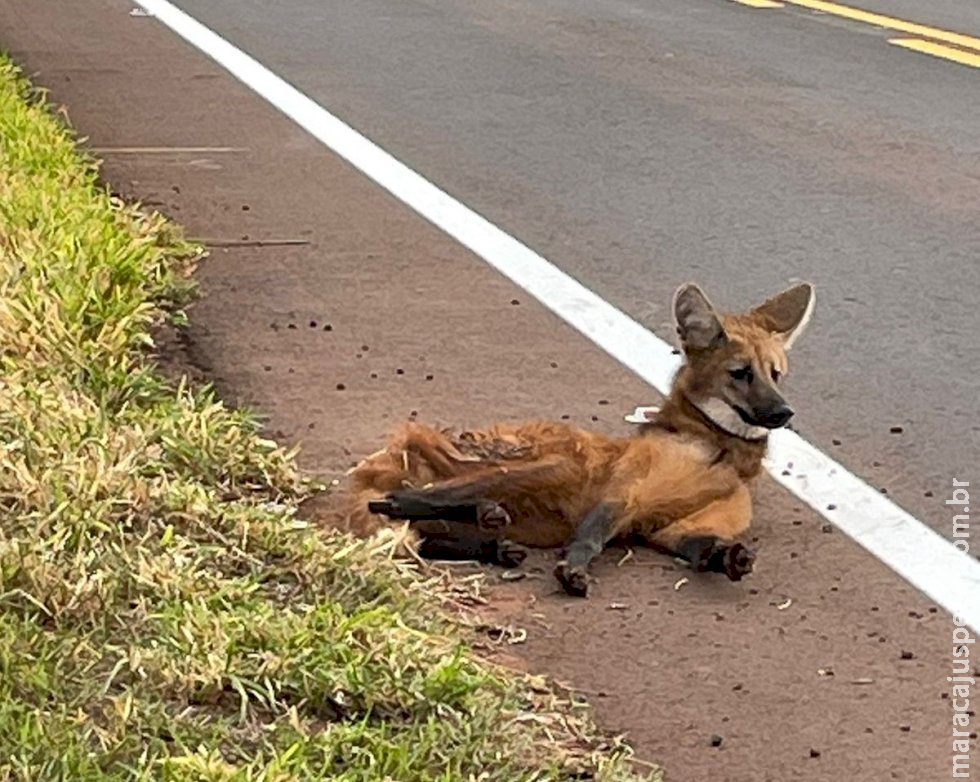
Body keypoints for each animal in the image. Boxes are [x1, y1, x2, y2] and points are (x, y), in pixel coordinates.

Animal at [334, 284, 812, 596]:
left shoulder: (670, 528)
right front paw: (572, 570)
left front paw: (729, 558)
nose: (785, 413)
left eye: (776, 374)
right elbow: (591, 536)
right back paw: (482, 515)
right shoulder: (622, 492)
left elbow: (704, 546)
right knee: (407, 498)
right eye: (741, 374)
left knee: (420, 531)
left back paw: (494, 542)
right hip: (552, 464)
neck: (721, 452)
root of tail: (391, 452)